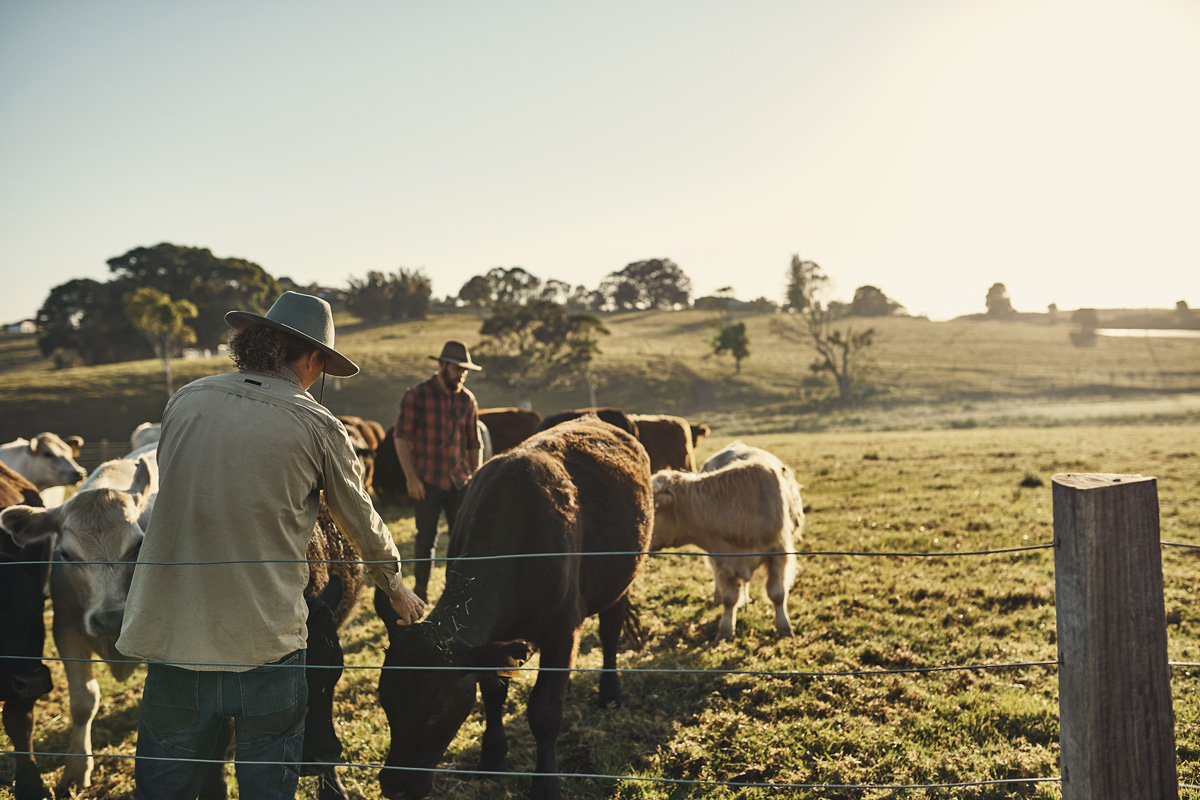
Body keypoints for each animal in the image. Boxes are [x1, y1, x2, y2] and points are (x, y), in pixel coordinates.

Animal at [0, 448, 156, 791]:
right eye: (66, 554)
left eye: (138, 545)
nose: (111, 618)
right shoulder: (66, 631)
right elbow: (84, 701)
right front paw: (76, 768)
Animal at [374, 419, 657, 800]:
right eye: (384, 699)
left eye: (437, 710)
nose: (394, 786)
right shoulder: (494, 642)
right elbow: (493, 693)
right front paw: (492, 757)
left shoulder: (563, 630)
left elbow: (545, 713)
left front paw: (546, 784)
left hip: (621, 580)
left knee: (611, 632)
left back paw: (610, 694)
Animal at [652, 441, 801, 642]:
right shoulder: (723, 559)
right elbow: (730, 598)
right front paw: (725, 630)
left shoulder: (779, 553)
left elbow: (777, 593)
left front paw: (784, 628)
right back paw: (718, 598)